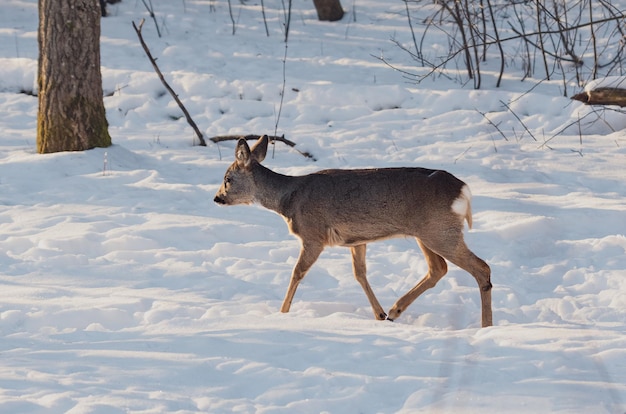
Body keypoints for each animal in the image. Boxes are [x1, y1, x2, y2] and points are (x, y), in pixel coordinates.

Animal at [214, 136, 492, 326]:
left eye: (227, 178)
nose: (217, 198)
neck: (288, 200)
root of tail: (463, 190)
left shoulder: (313, 235)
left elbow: (297, 273)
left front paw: (282, 313)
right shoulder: (356, 240)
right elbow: (359, 274)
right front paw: (379, 314)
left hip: (439, 230)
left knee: (481, 267)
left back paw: (485, 325)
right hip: (426, 233)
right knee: (438, 269)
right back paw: (394, 311)